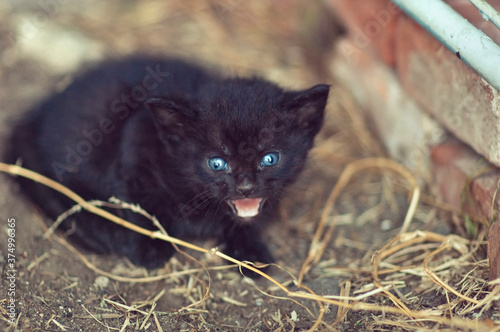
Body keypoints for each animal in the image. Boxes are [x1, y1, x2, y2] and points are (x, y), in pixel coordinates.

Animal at [7, 56, 330, 272]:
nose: (246, 185)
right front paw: (150, 248)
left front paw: (251, 251)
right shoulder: (134, 145)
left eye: (269, 158)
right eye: (217, 162)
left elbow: (248, 222)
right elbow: (140, 205)